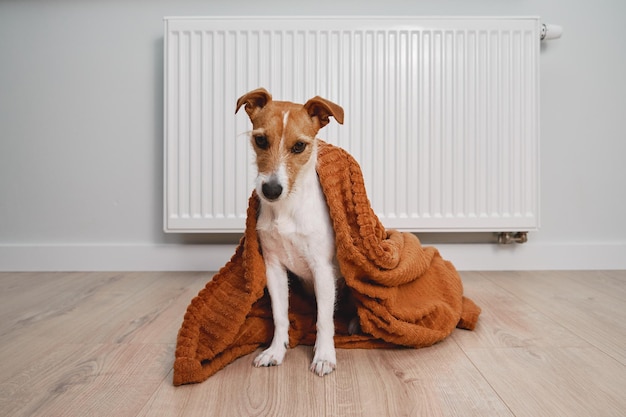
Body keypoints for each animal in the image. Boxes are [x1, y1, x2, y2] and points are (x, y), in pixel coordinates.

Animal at [236, 87, 346, 374]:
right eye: (260, 140)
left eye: (299, 146)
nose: (271, 190)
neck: (287, 209)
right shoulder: (273, 267)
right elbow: (280, 315)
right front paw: (275, 351)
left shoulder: (322, 270)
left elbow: (324, 320)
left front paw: (324, 356)